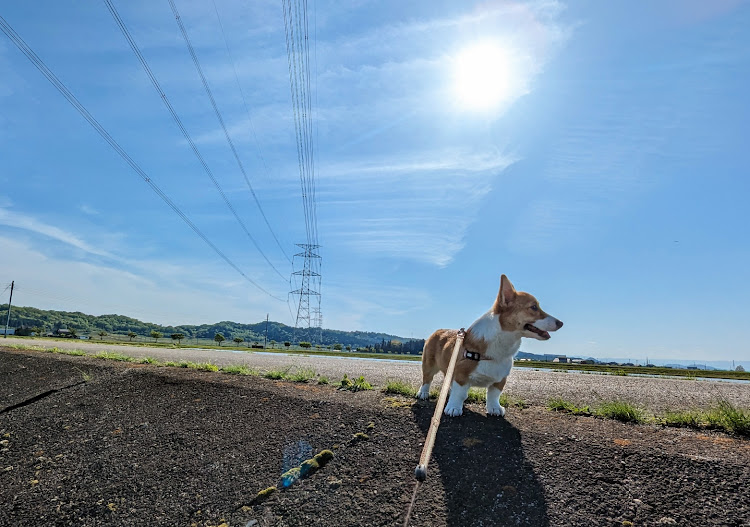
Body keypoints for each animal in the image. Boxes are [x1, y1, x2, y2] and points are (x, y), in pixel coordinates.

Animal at [418, 276, 564, 416]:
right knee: (427, 379)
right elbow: (459, 394)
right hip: (429, 364)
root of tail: (438, 330)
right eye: (533, 307)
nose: (561, 323)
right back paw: (423, 393)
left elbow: (494, 395)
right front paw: (453, 408)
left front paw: (494, 409)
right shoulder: (461, 375)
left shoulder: (501, 379)